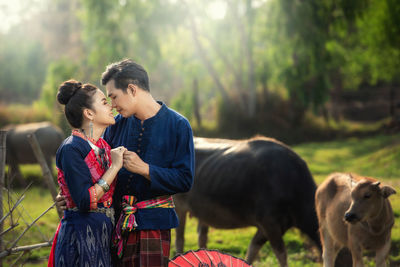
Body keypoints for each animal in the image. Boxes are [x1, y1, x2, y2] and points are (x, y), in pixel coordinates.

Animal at [174, 137, 322, 266]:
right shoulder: (269, 223)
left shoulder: (271, 227)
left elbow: (252, 249)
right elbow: (281, 254)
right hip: (178, 207)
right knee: (179, 239)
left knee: (202, 237)